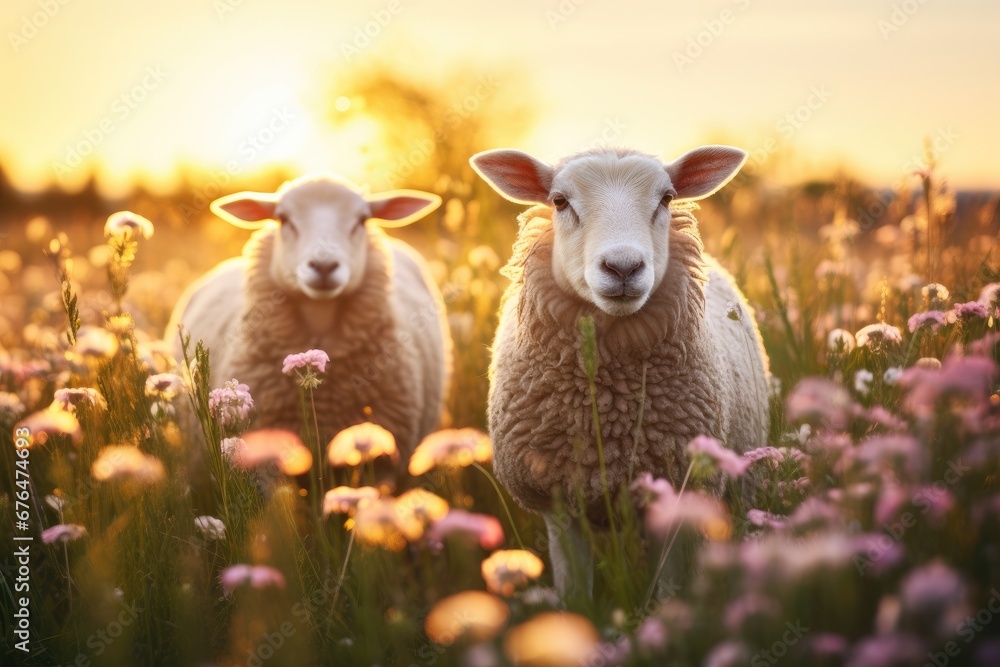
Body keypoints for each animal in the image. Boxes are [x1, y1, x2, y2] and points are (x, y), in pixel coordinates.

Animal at [470, 145, 769, 596]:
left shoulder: (676, 494)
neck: (607, 414)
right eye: (559, 201)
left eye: (667, 198)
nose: (623, 267)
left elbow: (668, 592)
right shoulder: (558, 505)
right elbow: (574, 594)